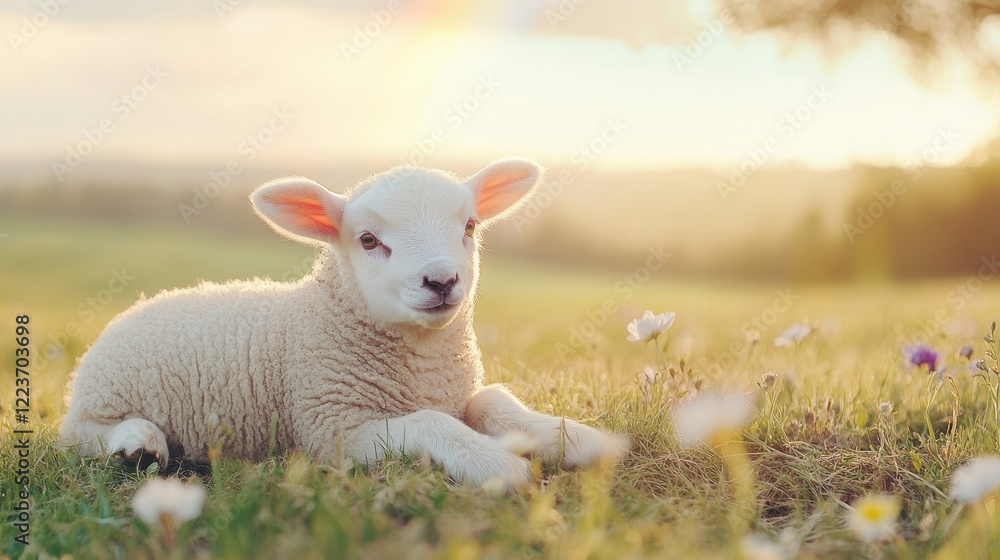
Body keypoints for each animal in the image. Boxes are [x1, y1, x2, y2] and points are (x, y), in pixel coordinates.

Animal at [59, 158, 628, 490]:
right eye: (369, 240)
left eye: (469, 226)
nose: (441, 281)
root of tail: (140, 303)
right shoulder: (332, 427)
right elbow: (430, 422)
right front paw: (497, 466)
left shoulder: (457, 394)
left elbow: (493, 402)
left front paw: (582, 441)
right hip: (99, 402)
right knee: (86, 437)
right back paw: (139, 444)